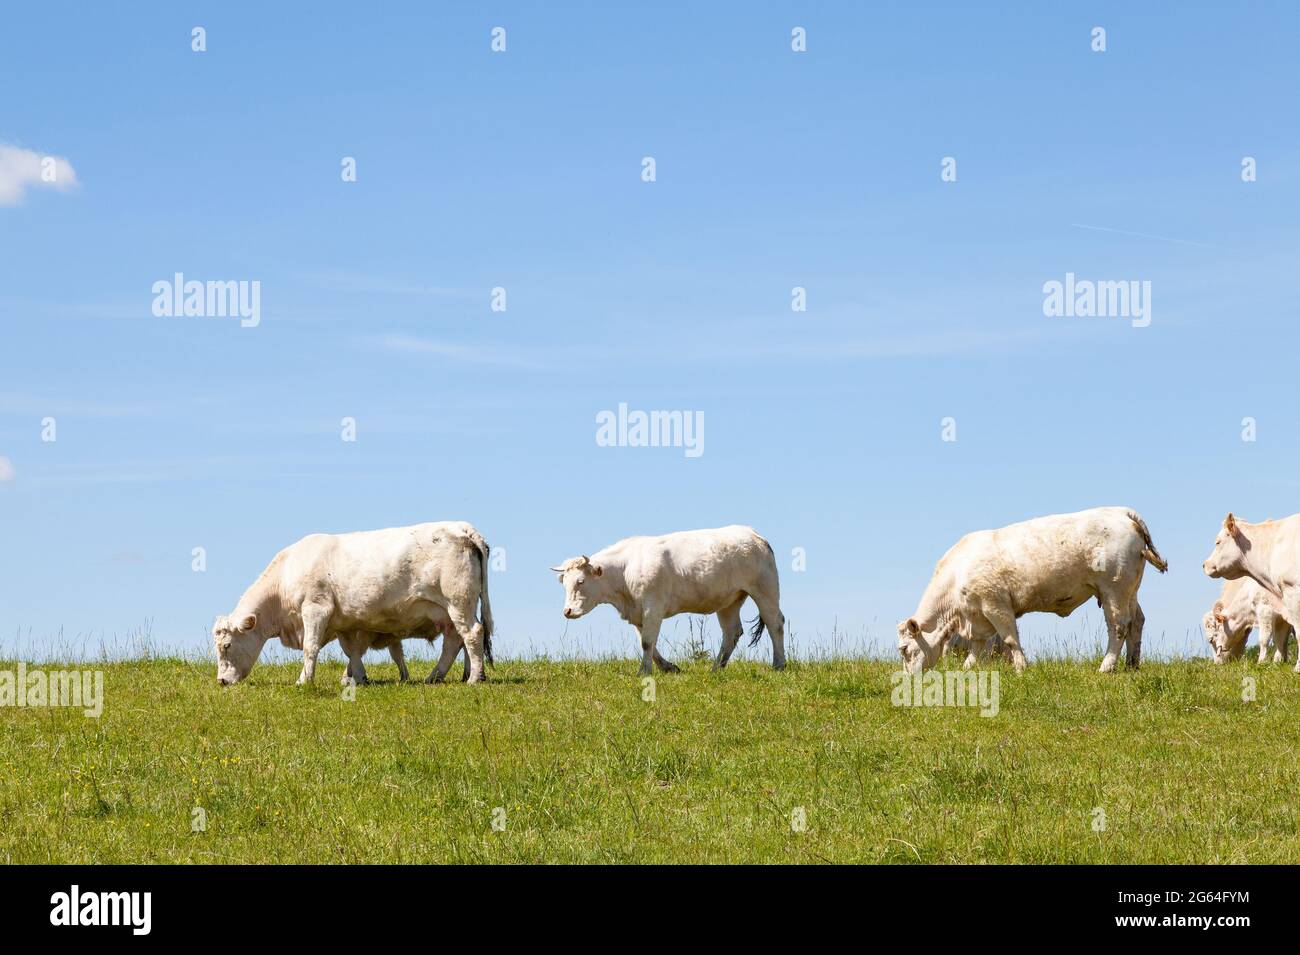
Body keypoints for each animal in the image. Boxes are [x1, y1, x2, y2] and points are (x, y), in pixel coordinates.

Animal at [213, 521, 493, 686]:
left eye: (227, 646)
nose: (221, 681)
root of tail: (461, 527)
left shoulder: (315, 609)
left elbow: (311, 647)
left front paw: (304, 681)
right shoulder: (343, 622)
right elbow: (352, 651)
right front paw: (356, 677)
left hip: (458, 601)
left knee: (472, 633)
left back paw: (474, 678)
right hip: (447, 611)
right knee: (455, 640)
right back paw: (439, 676)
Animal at [551, 525, 786, 676]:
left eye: (580, 581)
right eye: (564, 583)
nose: (567, 611)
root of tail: (754, 534)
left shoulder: (652, 606)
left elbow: (647, 642)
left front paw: (643, 671)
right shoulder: (639, 612)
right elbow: (648, 642)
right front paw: (668, 667)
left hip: (765, 589)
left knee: (775, 623)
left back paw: (779, 664)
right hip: (729, 601)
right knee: (732, 632)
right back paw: (716, 669)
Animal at [897, 506, 1167, 675]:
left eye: (904, 649)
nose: (909, 679)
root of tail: (1120, 511)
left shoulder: (995, 605)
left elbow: (1010, 639)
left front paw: (1021, 668)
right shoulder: (978, 617)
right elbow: (976, 647)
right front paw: (967, 669)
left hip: (1114, 589)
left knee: (1118, 626)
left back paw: (1106, 667)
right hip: (1130, 590)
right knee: (1137, 621)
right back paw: (1132, 665)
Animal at [1202, 512, 1300, 673]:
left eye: (1218, 542)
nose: (1205, 565)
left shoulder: (1271, 606)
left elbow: (1267, 638)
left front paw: (1263, 663)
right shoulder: (1280, 615)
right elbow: (1280, 639)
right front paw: (1278, 662)